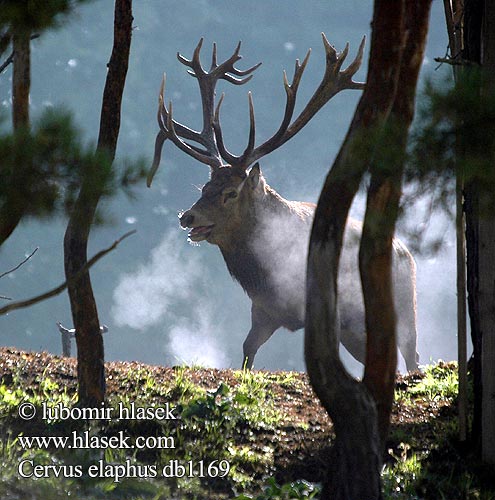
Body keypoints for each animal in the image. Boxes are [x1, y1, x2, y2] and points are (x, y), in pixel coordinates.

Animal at [147, 35, 418, 372]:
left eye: (231, 193)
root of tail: (408, 253)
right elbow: (247, 351)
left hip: (404, 310)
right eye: (205, 187)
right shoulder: (263, 309)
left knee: (411, 356)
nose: (187, 217)